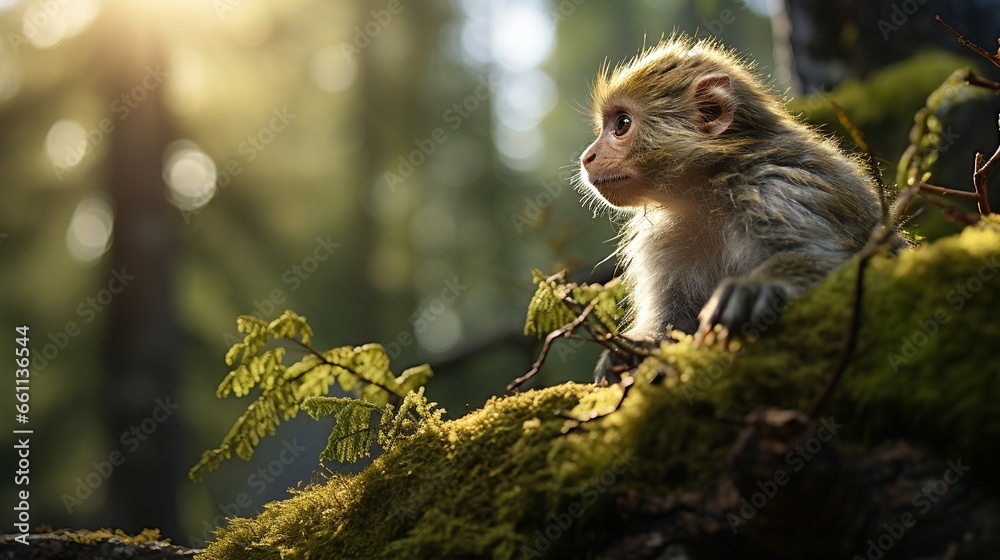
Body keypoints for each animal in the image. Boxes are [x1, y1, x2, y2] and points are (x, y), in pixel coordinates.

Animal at [577, 35, 902, 384]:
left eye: (622, 124)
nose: (587, 157)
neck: (707, 192)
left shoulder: (775, 189)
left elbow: (846, 263)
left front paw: (756, 289)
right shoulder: (663, 240)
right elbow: (672, 328)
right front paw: (631, 350)